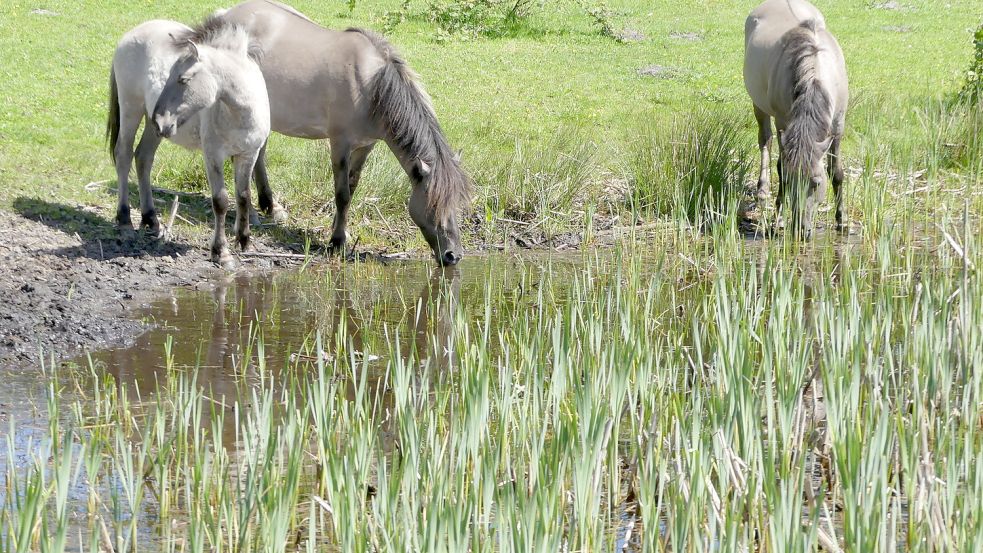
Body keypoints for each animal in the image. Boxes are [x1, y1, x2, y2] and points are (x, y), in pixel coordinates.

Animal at [106, 16, 272, 266]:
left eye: (183, 79)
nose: (161, 119)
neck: (240, 113)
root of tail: (129, 36)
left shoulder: (248, 154)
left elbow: (243, 196)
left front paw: (244, 241)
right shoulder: (213, 156)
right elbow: (221, 201)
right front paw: (220, 251)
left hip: (152, 129)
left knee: (143, 158)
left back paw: (151, 220)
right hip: (132, 110)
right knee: (123, 155)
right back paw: (125, 221)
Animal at [220, 0, 472, 268]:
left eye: (456, 204)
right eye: (434, 204)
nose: (453, 255)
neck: (370, 87)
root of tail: (225, 16)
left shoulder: (365, 146)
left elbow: (352, 186)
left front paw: (340, 230)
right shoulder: (340, 143)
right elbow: (342, 193)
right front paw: (337, 242)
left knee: (259, 155)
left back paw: (271, 206)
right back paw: (253, 215)